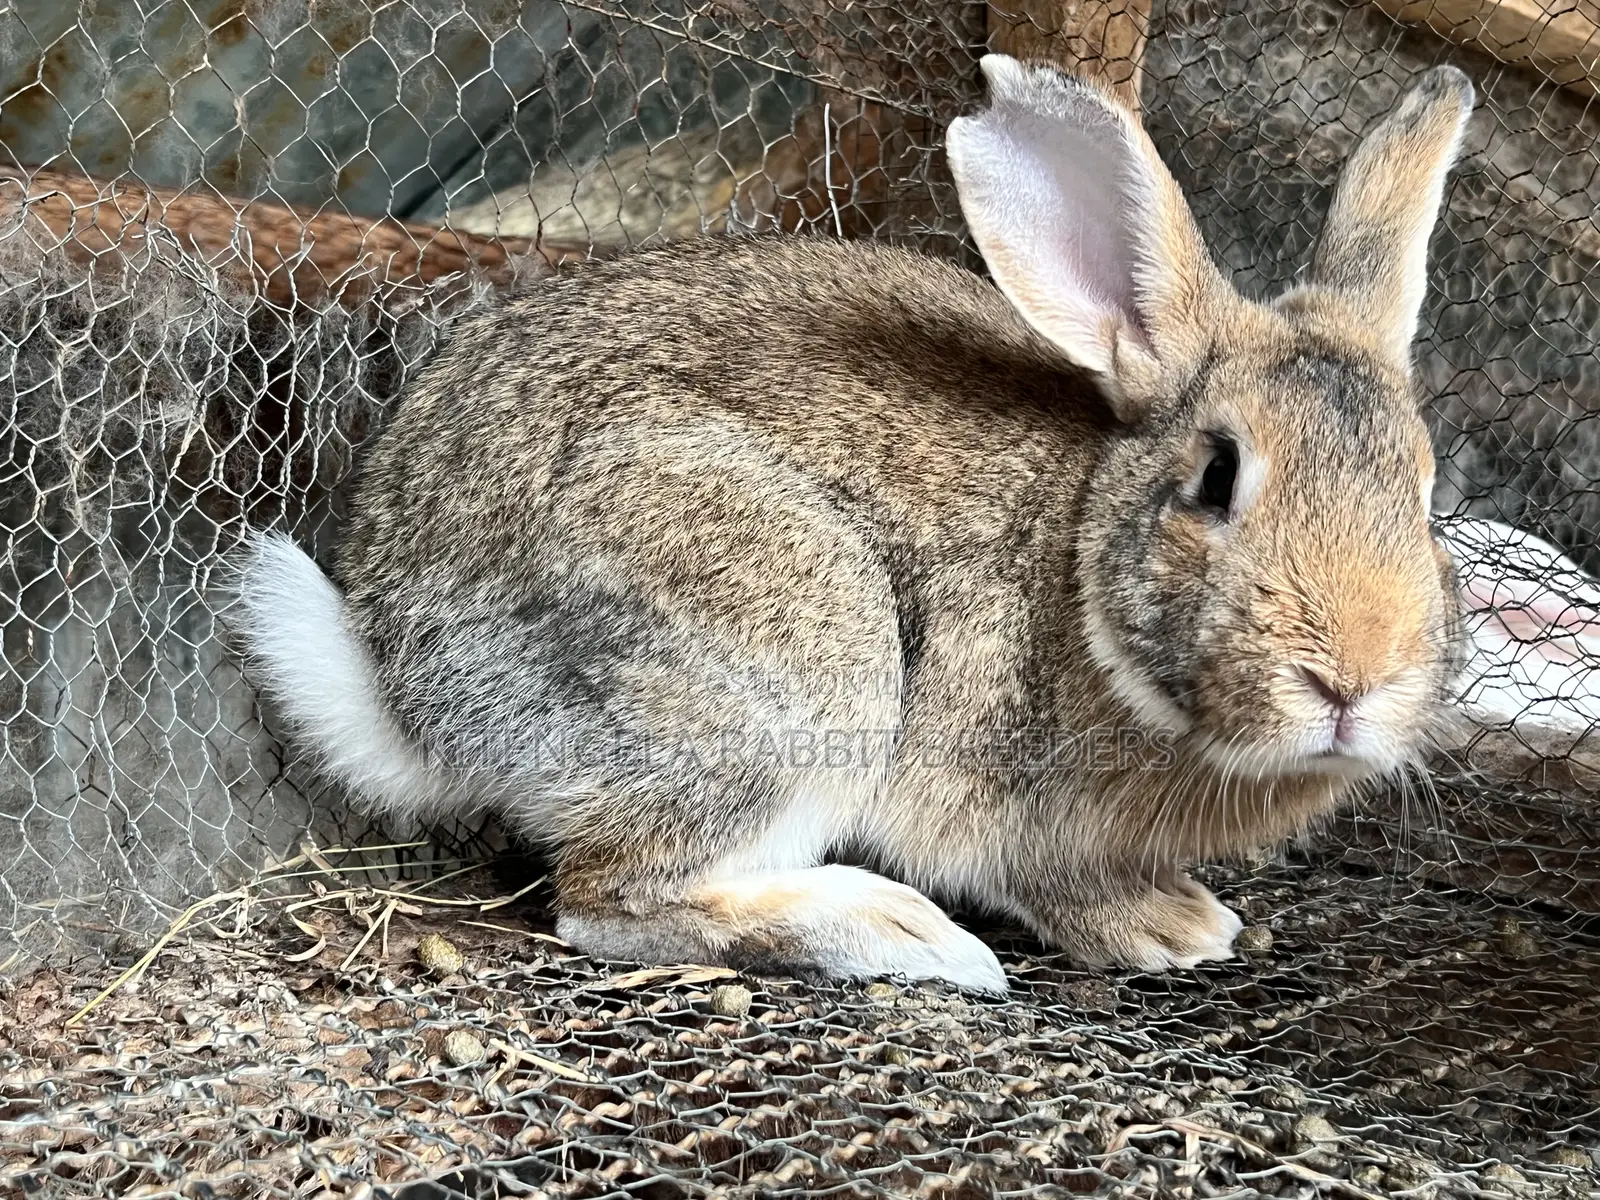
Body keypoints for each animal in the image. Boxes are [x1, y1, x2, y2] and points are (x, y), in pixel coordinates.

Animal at [233, 56, 1475, 995]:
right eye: (1217, 476)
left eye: (1422, 498)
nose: (1351, 682)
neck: (1081, 552)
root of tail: (410, 692)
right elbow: (1038, 877)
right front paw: (1170, 929)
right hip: (795, 645)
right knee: (610, 900)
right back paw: (900, 935)